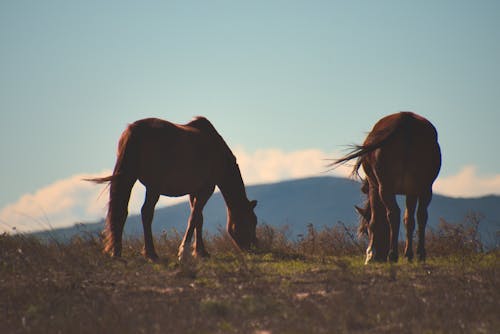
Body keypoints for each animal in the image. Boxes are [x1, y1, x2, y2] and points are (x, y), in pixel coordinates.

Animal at [85, 117, 258, 260]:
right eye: (252, 221)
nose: (254, 248)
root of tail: (134, 130)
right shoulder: (206, 189)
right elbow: (194, 217)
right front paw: (184, 252)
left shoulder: (193, 191)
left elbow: (198, 218)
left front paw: (200, 252)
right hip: (153, 187)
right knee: (146, 213)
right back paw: (151, 254)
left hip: (129, 178)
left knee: (122, 211)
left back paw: (118, 252)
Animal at [332, 112, 442, 264]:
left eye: (366, 231)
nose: (379, 256)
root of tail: (405, 119)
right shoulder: (411, 191)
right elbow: (409, 219)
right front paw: (408, 254)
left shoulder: (374, 186)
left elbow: (375, 219)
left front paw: (370, 254)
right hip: (425, 187)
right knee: (421, 215)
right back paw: (420, 254)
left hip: (385, 186)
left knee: (393, 213)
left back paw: (392, 254)